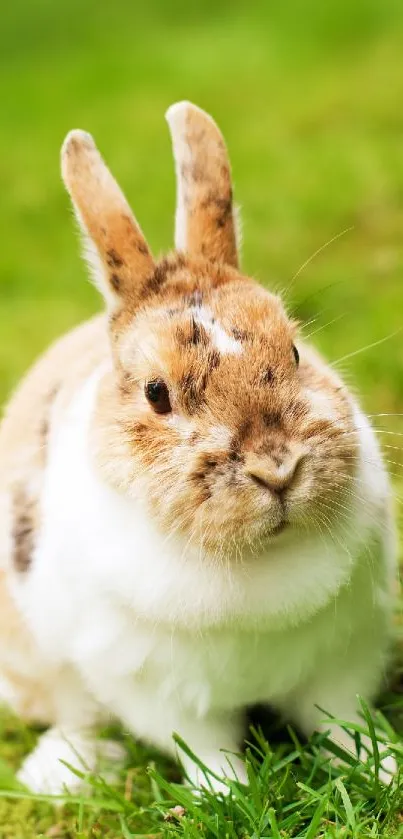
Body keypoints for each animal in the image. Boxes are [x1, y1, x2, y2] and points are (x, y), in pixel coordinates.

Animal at [0, 100, 398, 796]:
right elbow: (206, 751)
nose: (278, 467)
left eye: (296, 351)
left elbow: (343, 723)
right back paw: (66, 769)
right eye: (157, 393)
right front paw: (232, 793)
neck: (259, 559)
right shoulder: (163, 694)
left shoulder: (344, 655)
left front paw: (387, 768)